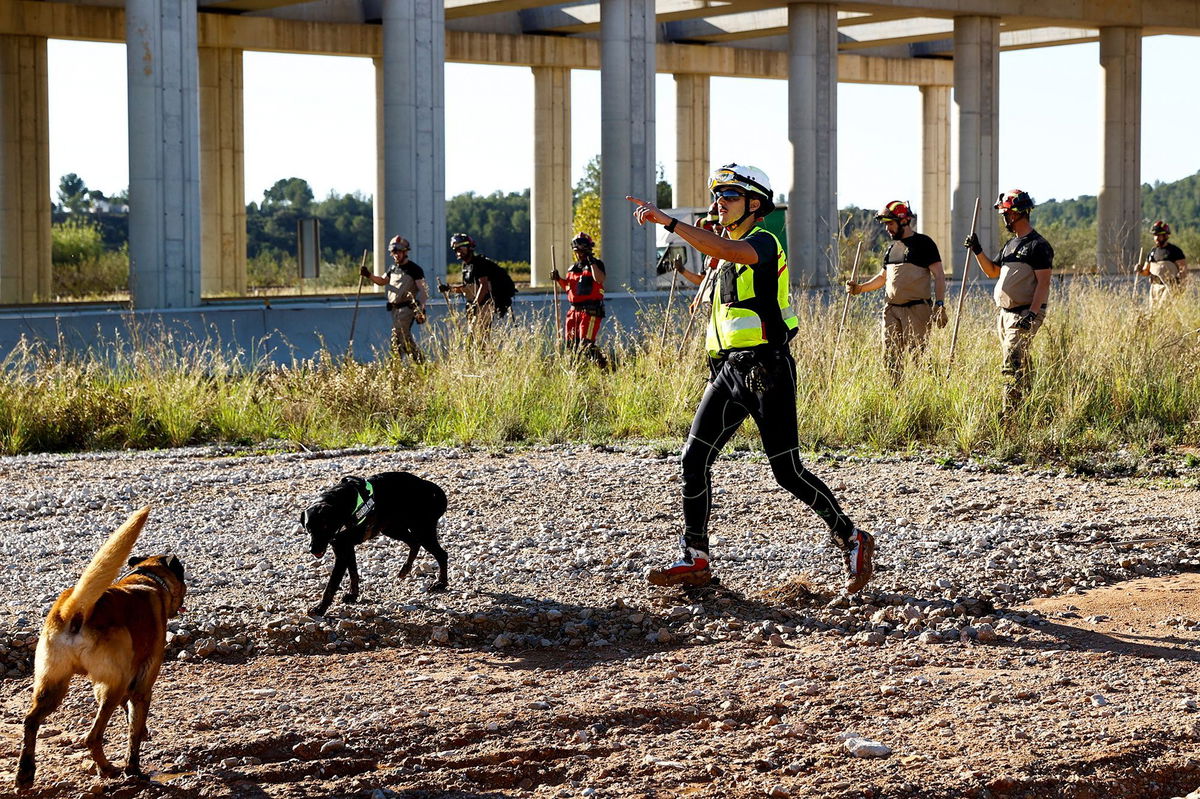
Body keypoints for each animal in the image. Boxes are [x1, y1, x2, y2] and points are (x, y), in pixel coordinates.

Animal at [15, 503, 184, 782]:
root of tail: (75, 610)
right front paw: (133, 767)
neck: (147, 580)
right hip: (111, 687)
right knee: (92, 737)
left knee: (30, 721)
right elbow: (133, 732)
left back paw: (25, 773)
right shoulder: (141, 683)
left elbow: (131, 718)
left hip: (52, 684)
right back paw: (107, 768)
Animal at [300, 470, 451, 611]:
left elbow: (332, 584)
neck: (342, 504)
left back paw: (441, 583)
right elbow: (353, 574)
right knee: (414, 543)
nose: (313, 549)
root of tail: (429, 487)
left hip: (422, 531)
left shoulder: (342, 549)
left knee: (441, 554)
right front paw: (353, 595)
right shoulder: (345, 548)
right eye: (308, 528)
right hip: (392, 529)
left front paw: (320, 608)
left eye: (325, 526)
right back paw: (405, 569)